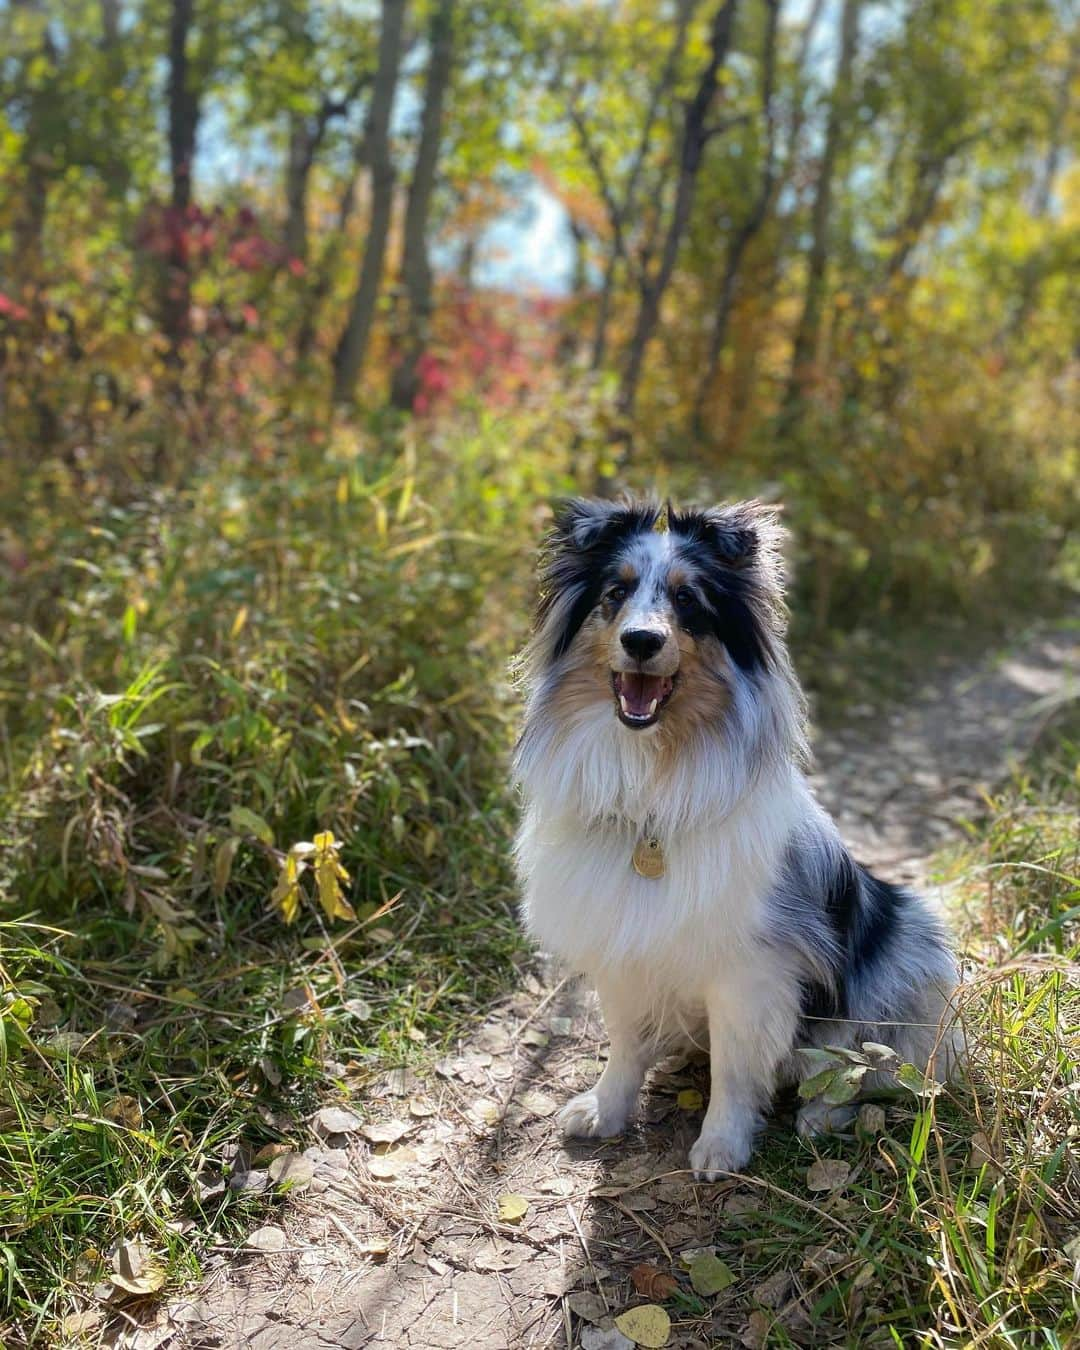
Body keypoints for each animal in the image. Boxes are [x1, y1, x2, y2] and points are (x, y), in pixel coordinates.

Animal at [510, 502, 955, 1177]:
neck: (652, 784)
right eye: (615, 593)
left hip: (910, 945)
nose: (642, 641)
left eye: (687, 600)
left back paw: (823, 1113)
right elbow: (624, 1043)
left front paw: (722, 1144)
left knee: (877, 1066)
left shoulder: (749, 972)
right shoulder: (620, 945)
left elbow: (736, 1069)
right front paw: (606, 1109)